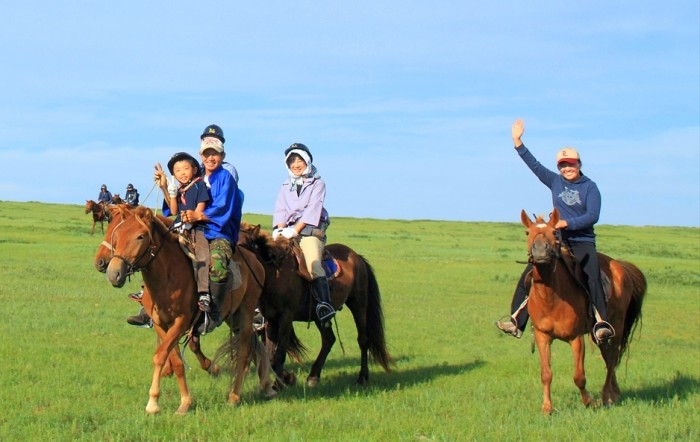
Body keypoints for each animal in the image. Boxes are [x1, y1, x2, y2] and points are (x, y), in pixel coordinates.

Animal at [92, 206, 276, 414]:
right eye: (115, 234)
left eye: (140, 236)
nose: (112, 272)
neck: (168, 276)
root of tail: (254, 261)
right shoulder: (161, 324)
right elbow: (174, 359)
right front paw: (181, 401)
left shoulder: (181, 322)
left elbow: (160, 356)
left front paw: (156, 402)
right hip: (232, 316)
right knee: (253, 345)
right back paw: (266, 386)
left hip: (245, 311)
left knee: (244, 351)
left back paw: (235, 396)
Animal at [239, 223, 394, 388]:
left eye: (243, 245)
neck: (275, 273)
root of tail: (357, 257)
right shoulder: (271, 319)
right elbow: (269, 356)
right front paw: (282, 380)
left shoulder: (286, 317)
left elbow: (279, 354)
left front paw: (282, 382)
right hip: (319, 315)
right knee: (329, 339)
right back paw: (313, 376)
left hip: (358, 303)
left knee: (363, 340)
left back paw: (362, 377)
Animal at [520, 207, 644, 414]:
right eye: (528, 232)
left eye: (554, 231)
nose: (540, 251)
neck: (551, 297)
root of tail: (620, 266)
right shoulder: (542, 335)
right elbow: (546, 373)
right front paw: (547, 408)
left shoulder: (576, 338)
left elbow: (579, 376)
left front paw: (589, 401)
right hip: (598, 334)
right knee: (608, 356)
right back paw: (614, 392)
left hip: (616, 326)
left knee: (612, 357)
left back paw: (607, 396)